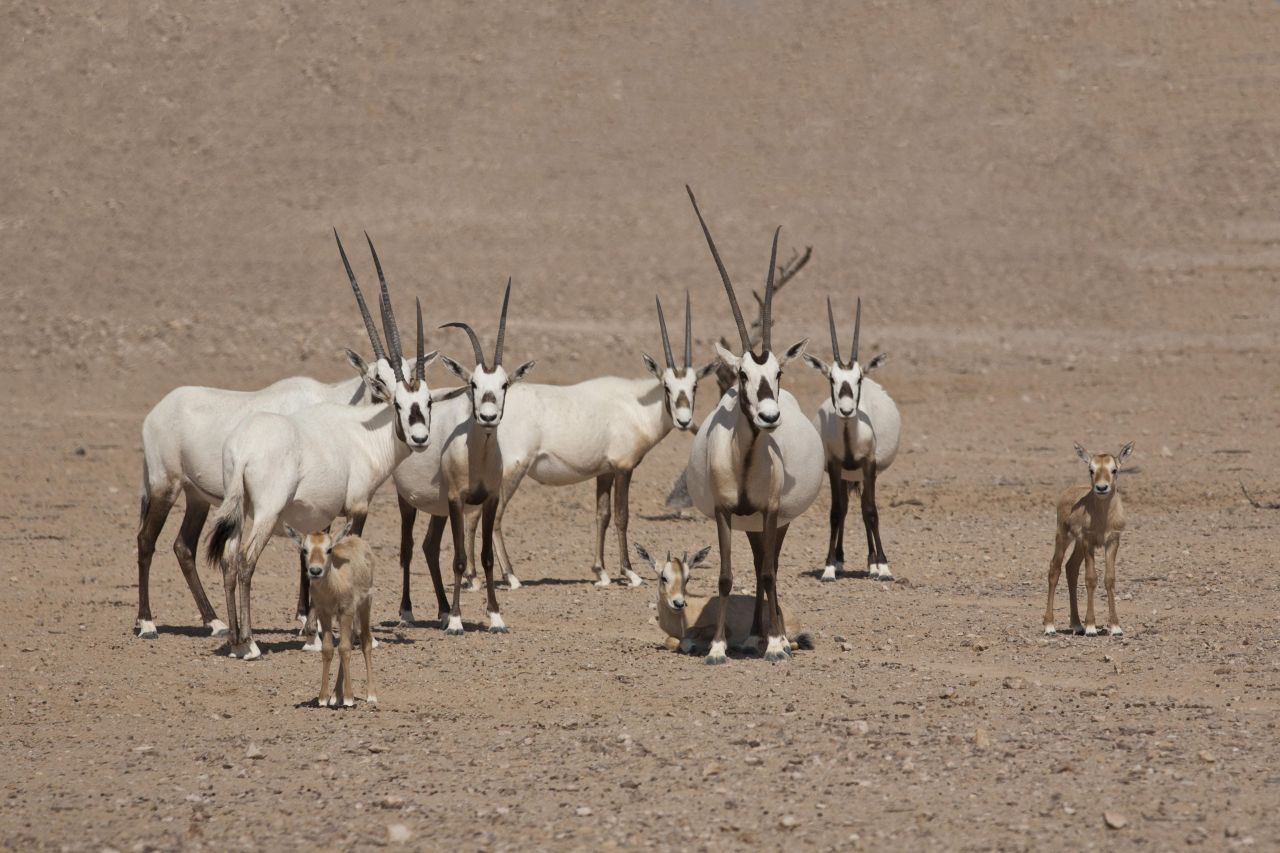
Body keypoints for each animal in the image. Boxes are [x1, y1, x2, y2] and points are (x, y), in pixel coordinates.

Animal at [285, 517, 373, 701]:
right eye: (305, 549)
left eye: (329, 549)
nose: (315, 570)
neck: (333, 588)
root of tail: (357, 540)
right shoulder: (324, 613)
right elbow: (328, 649)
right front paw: (324, 697)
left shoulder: (346, 611)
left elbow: (345, 649)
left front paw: (349, 698)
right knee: (350, 639)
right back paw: (336, 695)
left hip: (364, 605)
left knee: (365, 641)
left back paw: (371, 695)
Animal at [634, 540, 814, 653]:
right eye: (663, 577)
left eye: (688, 578)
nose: (678, 603)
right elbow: (669, 640)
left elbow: (684, 638)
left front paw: (693, 646)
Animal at [803, 295, 906, 581]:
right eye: (831, 377)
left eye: (858, 377)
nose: (847, 410)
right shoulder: (836, 465)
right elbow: (836, 511)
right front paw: (829, 567)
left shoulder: (869, 464)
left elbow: (871, 510)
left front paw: (883, 567)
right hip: (848, 475)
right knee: (848, 506)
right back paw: (841, 560)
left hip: (867, 472)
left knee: (863, 506)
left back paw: (872, 563)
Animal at [1044, 440, 1136, 635]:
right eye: (1091, 469)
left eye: (1114, 469)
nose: (1101, 488)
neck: (1102, 518)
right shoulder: (1089, 542)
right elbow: (1091, 578)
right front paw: (1092, 627)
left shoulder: (1112, 541)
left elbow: (1109, 578)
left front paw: (1115, 627)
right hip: (1063, 537)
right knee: (1054, 569)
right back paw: (1049, 625)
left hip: (1078, 544)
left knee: (1071, 568)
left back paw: (1077, 625)